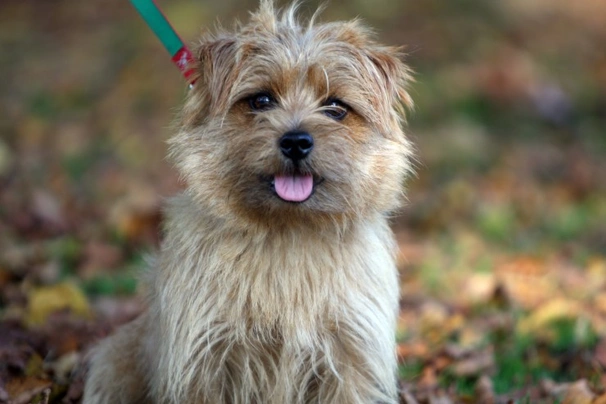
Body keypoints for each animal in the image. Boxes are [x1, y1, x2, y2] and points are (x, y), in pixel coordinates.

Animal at [85, 1, 416, 402]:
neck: (288, 236)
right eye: (261, 100)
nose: (296, 141)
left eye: (336, 107)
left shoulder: (351, 357)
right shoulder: (203, 361)